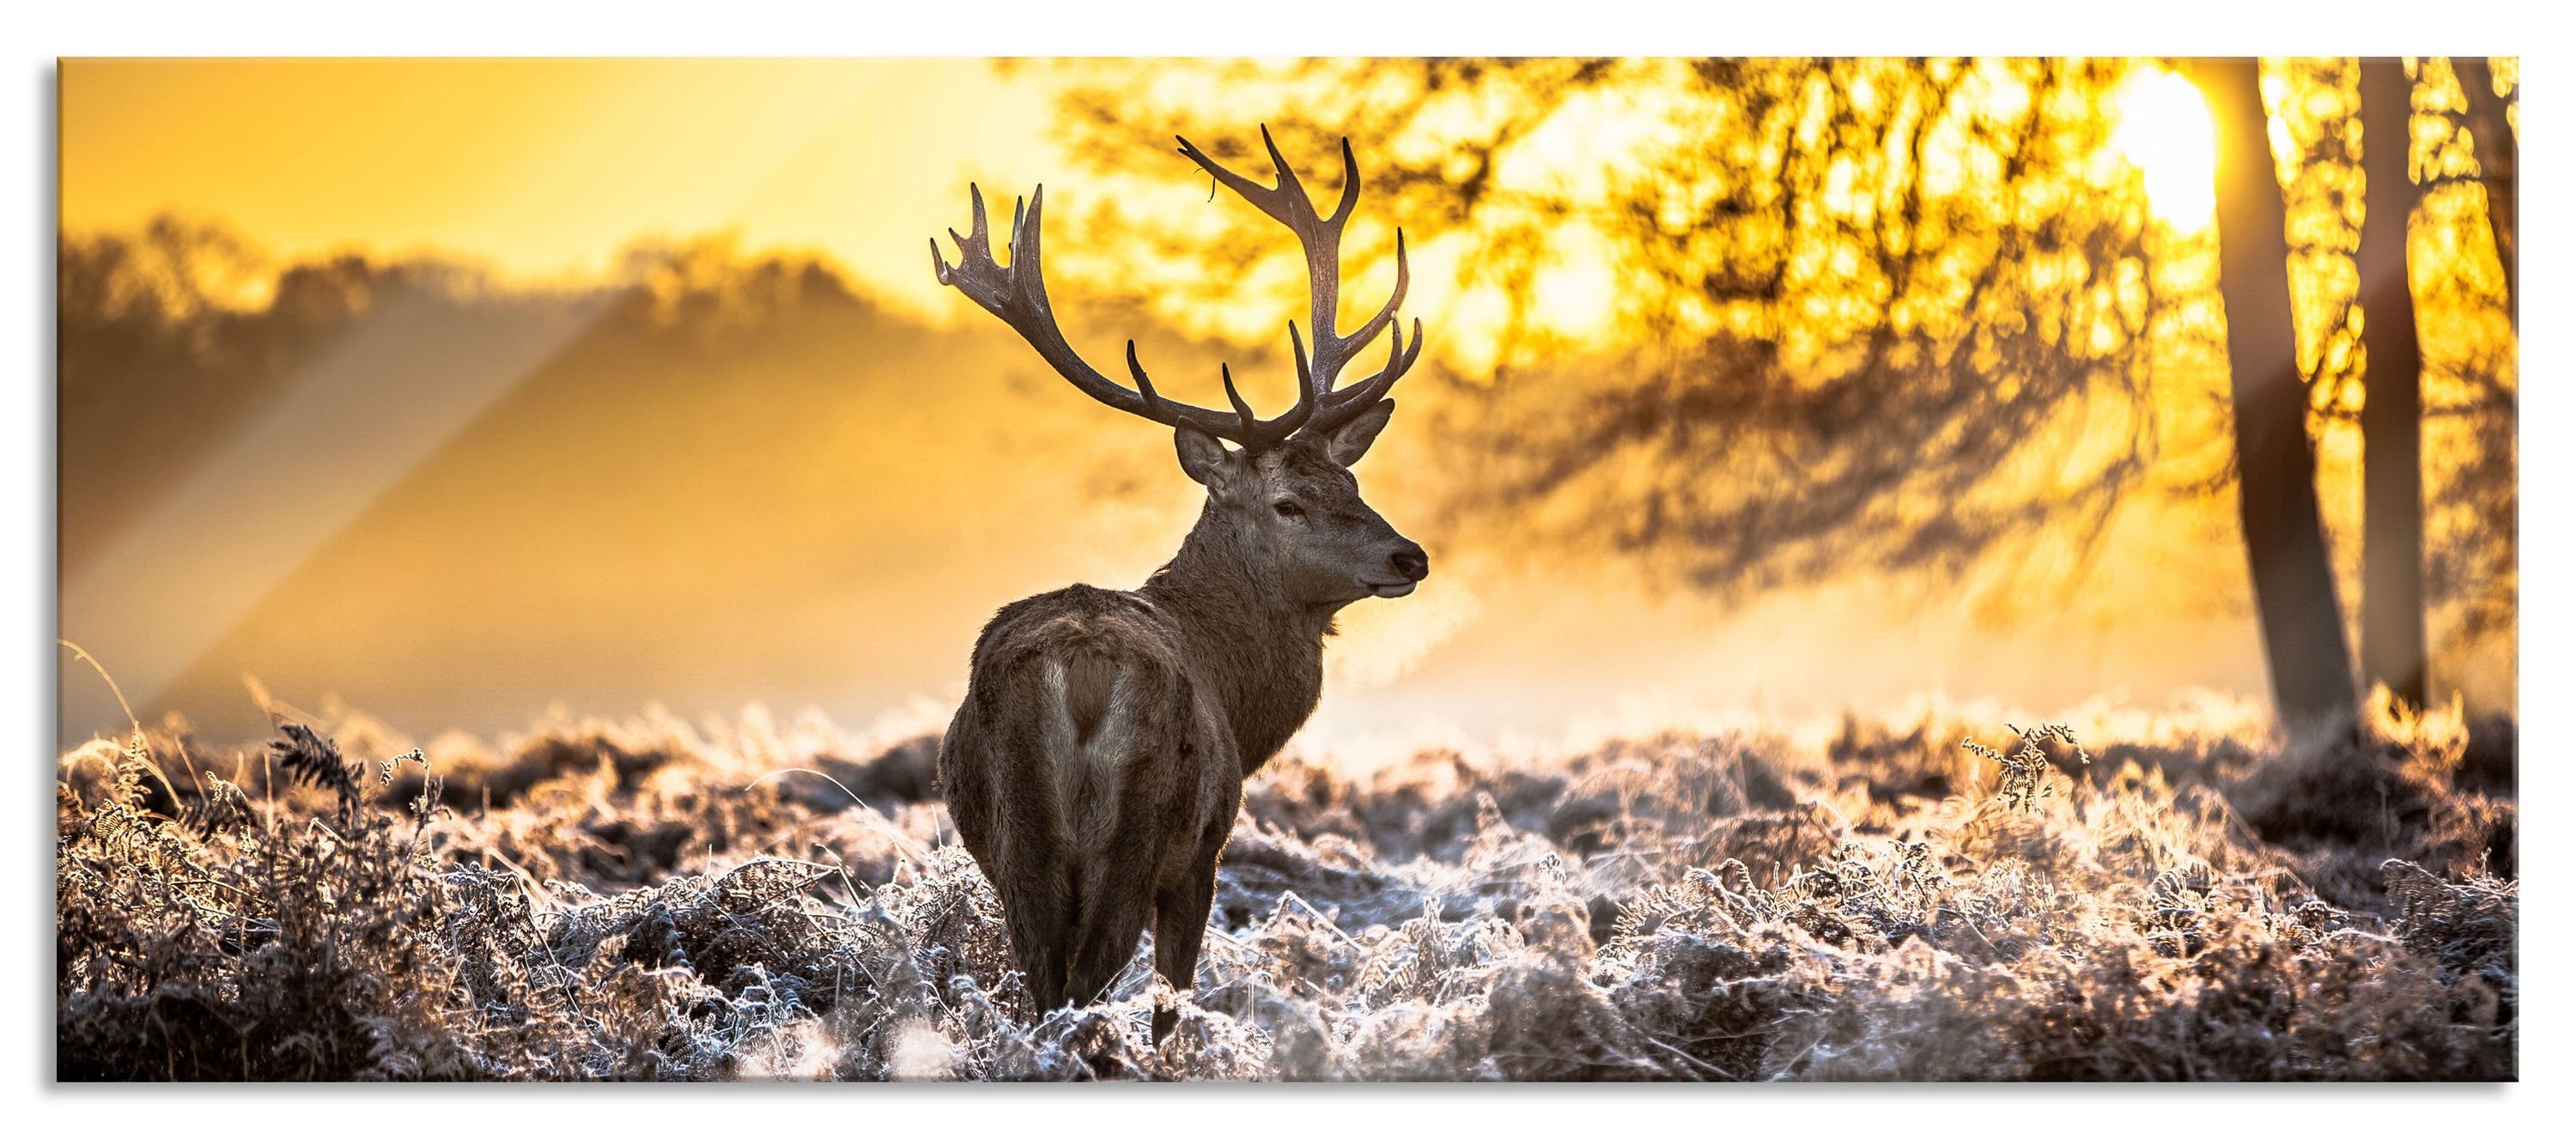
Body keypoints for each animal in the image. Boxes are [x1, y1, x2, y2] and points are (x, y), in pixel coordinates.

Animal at [927, 128, 1428, 1042]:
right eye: (1288, 501)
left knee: (1044, 983)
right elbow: (1174, 1000)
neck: (1239, 694)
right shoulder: (1204, 850)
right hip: (1142, 827)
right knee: (1089, 979)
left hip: (1020, 841)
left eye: (1353, 483)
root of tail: (1080, 673)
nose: (1410, 557)